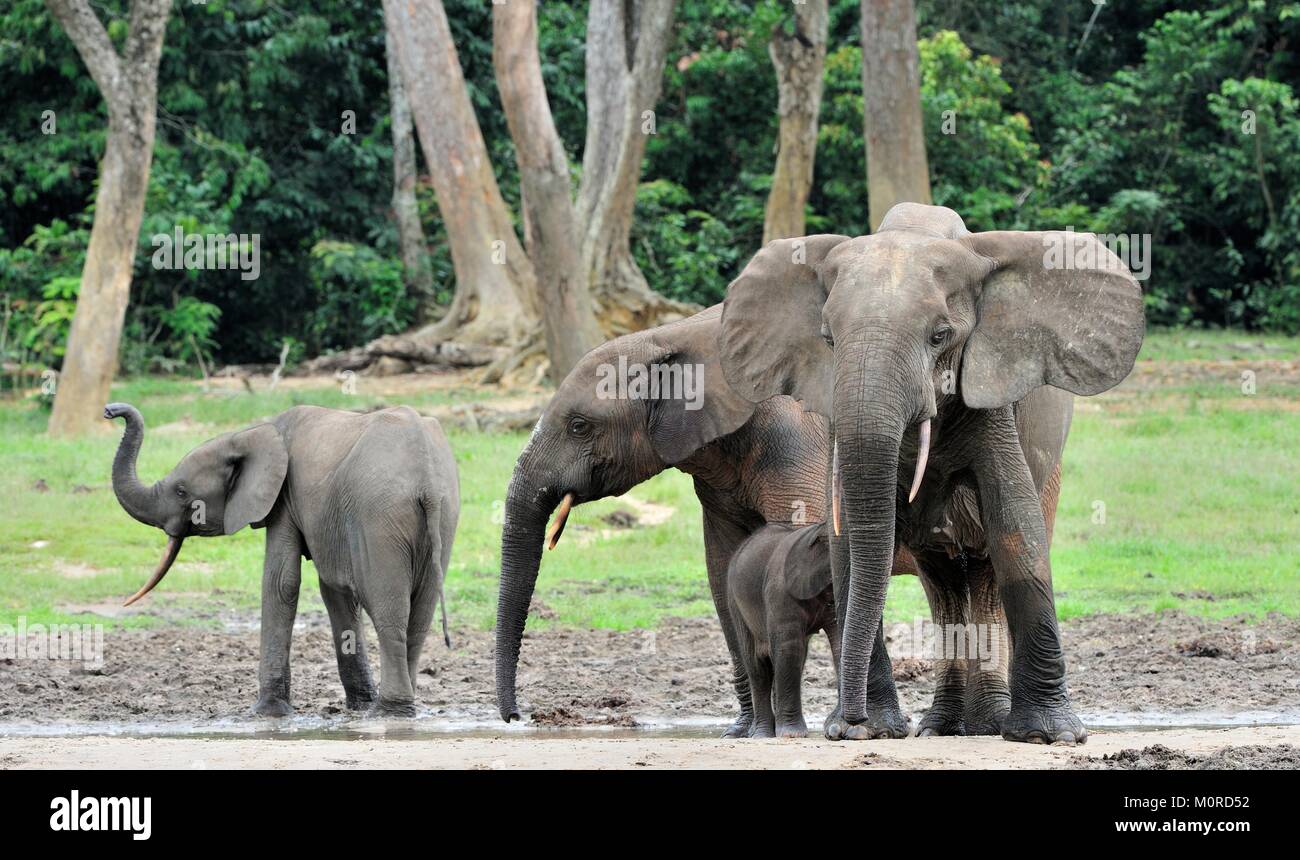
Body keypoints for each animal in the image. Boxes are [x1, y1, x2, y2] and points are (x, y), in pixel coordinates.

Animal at [105, 402, 460, 717]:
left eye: (181, 492)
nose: (110, 410)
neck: (250, 434)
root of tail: (426, 482)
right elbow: (333, 590)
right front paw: (357, 705)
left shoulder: (283, 498)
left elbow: (281, 582)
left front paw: (266, 713)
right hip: (442, 516)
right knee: (420, 614)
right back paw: (398, 710)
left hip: (380, 516)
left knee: (389, 610)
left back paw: (388, 712)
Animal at [726, 522, 837, 738]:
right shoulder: (779, 591)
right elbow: (788, 649)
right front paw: (792, 735)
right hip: (736, 603)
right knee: (757, 666)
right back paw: (762, 735)